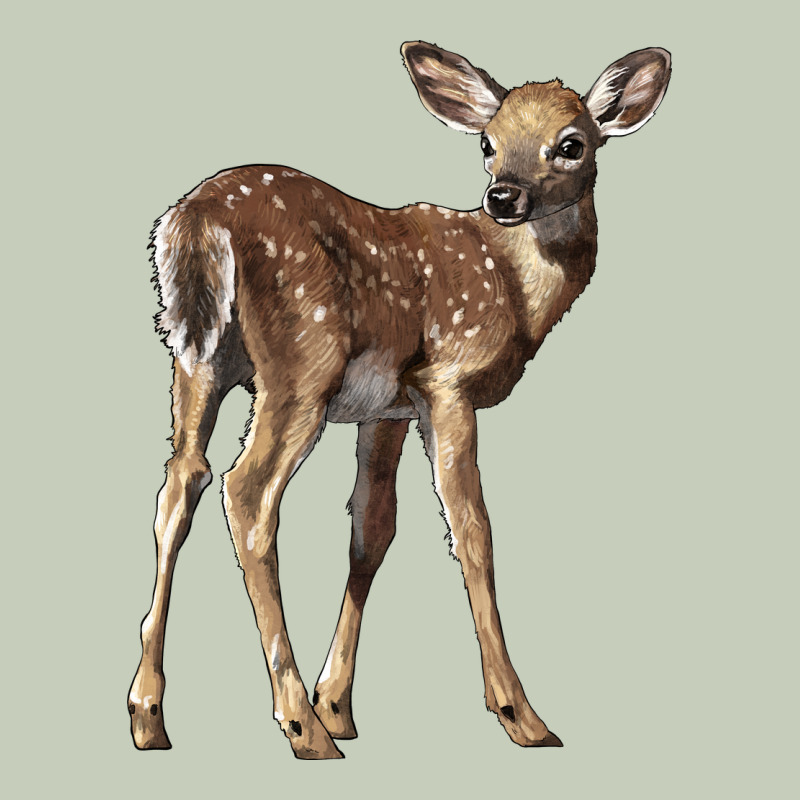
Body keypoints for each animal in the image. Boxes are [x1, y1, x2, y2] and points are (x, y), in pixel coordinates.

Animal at [128, 41, 671, 760]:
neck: (515, 289)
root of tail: (195, 219)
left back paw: (149, 716)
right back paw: (299, 729)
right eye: (488, 143)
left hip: (196, 357)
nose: (503, 196)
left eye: (571, 144)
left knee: (180, 482)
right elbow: (473, 531)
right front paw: (520, 716)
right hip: (302, 360)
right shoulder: (448, 380)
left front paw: (339, 705)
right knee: (246, 491)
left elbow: (371, 529)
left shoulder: (387, 407)